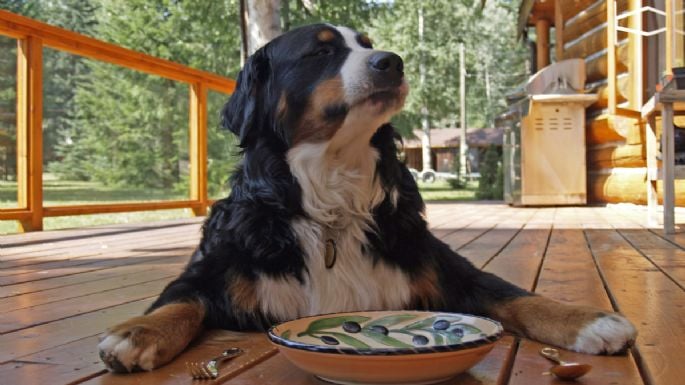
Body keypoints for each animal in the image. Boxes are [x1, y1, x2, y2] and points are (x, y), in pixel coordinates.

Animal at [96, 24, 636, 372]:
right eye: (320, 53)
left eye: (369, 46)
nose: (392, 62)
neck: (332, 198)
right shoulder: (214, 269)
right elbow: (179, 302)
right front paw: (136, 332)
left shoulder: (443, 267)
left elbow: (515, 295)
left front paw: (586, 320)